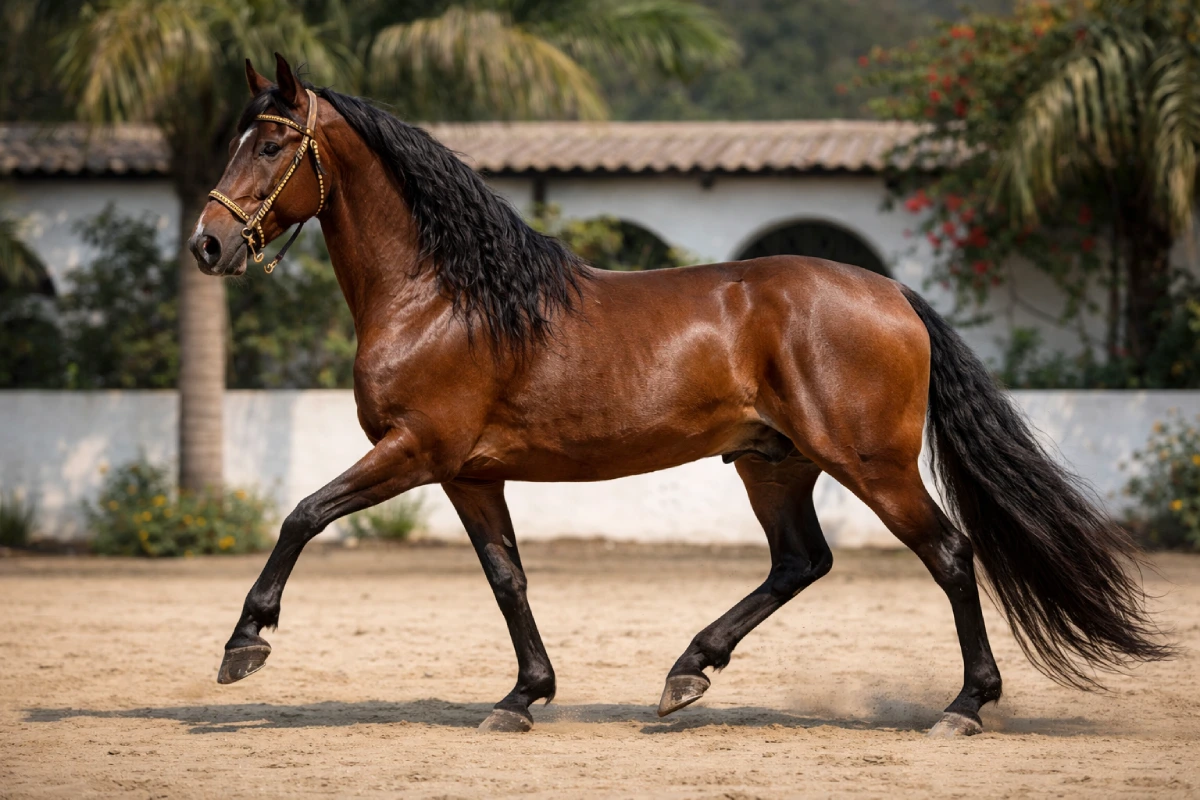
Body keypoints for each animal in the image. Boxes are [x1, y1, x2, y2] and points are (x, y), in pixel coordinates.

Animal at [189, 54, 1171, 736]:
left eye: (270, 144)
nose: (208, 245)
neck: (444, 295)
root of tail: (893, 293)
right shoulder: (469, 473)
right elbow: (507, 577)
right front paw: (523, 696)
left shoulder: (414, 451)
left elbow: (304, 514)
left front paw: (246, 644)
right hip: (774, 464)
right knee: (801, 562)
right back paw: (687, 671)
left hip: (871, 463)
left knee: (950, 553)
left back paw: (963, 706)